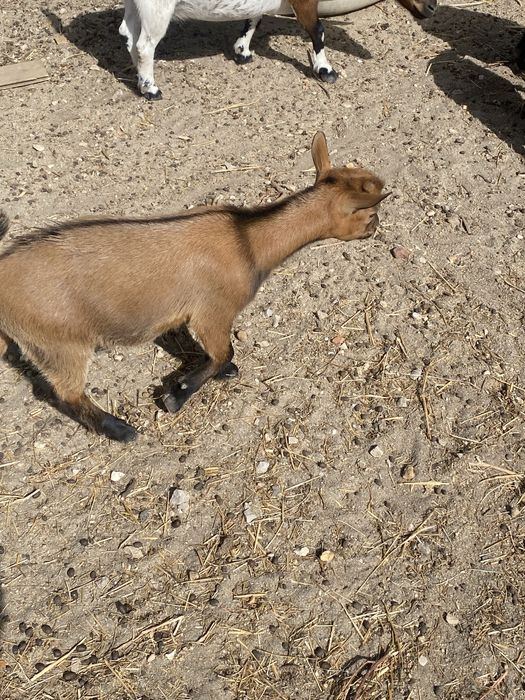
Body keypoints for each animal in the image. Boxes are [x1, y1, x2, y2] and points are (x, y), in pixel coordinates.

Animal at [0, 132, 389, 442]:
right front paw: (178, 394)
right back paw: (121, 429)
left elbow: (218, 355)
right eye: (369, 214)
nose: (375, 229)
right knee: (66, 393)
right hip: (59, 342)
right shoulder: (213, 311)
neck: (249, 242)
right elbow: (223, 353)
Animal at [119, 0, 437, 99]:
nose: (433, 7)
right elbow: (318, 31)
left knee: (128, 36)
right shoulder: (305, 3)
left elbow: (253, 19)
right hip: (157, 9)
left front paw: (242, 52)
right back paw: (151, 89)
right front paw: (325, 71)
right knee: (145, 46)